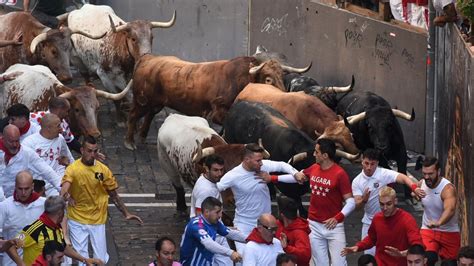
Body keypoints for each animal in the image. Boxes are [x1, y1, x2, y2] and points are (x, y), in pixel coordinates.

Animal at [126, 54, 312, 151]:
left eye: (282, 76)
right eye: (268, 79)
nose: (281, 94)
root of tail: (148, 58)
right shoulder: (218, 111)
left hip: (154, 103)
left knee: (149, 115)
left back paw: (142, 138)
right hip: (142, 100)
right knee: (133, 115)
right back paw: (130, 142)